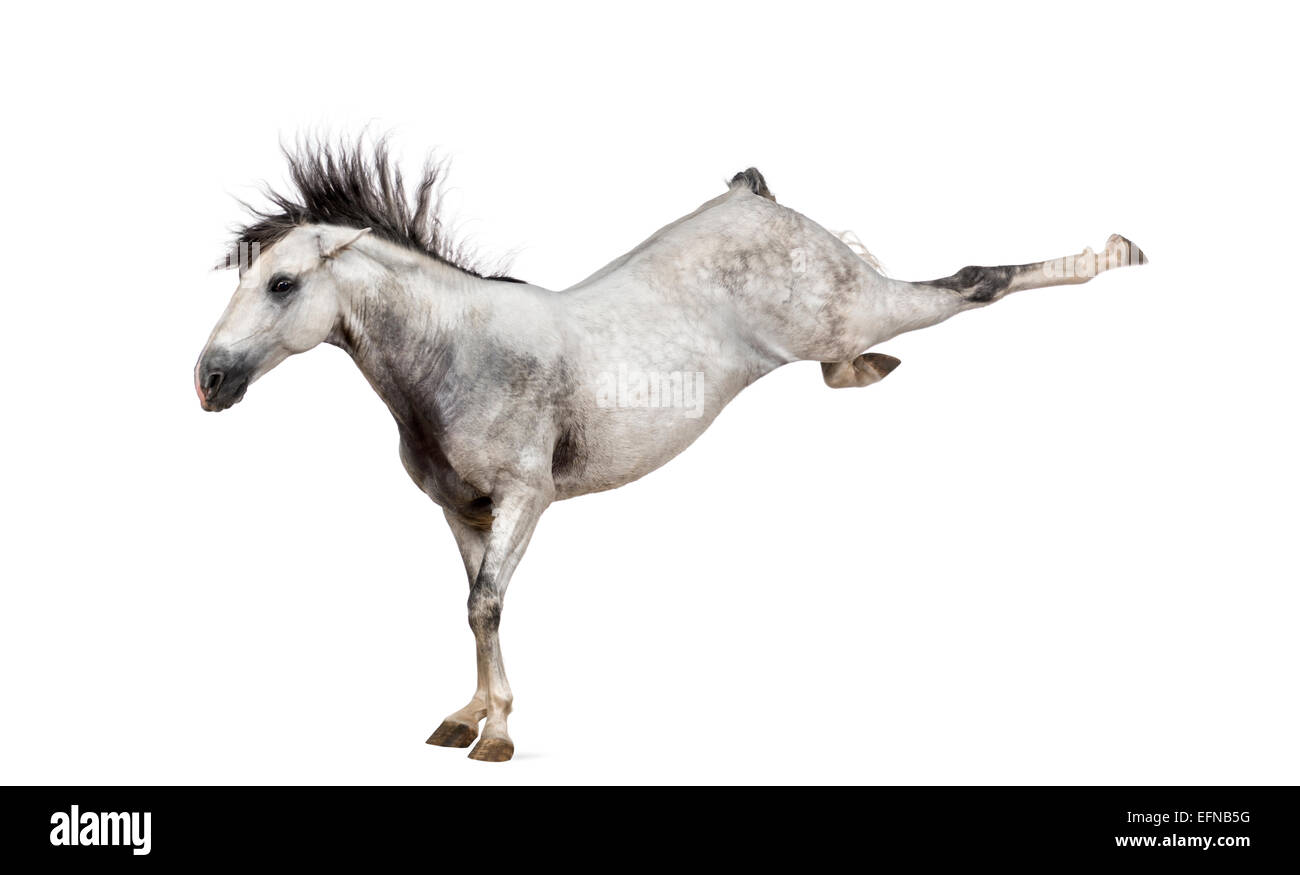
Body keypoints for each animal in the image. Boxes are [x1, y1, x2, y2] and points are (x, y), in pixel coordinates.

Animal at [195, 140, 1147, 761]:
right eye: (246, 278)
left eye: (282, 283)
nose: (209, 379)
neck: (458, 354)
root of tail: (753, 197)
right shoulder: (461, 510)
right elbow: (472, 606)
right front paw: (468, 715)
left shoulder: (525, 499)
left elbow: (487, 604)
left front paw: (497, 734)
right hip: (840, 325)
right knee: (877, 344)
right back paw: (870, 371)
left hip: (860, 305)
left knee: (971, 282)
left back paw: (1114, 252)